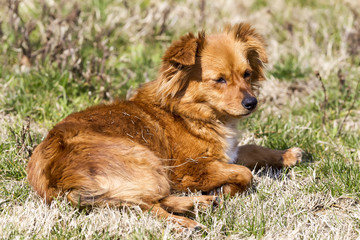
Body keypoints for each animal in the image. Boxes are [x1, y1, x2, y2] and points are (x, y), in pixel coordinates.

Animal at [26, 23, 300, 229]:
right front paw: (227, 188)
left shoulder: (226, 152)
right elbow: (245, 173)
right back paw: (188, 221)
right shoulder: (191, 169)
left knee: (145, 201)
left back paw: (198, 204)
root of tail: (53, 174)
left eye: (246, 74)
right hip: (150, 165)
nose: (251, 102)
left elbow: (250, 149)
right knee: (146, 206)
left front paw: (286, 155)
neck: (190, 114)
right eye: (219, 80)